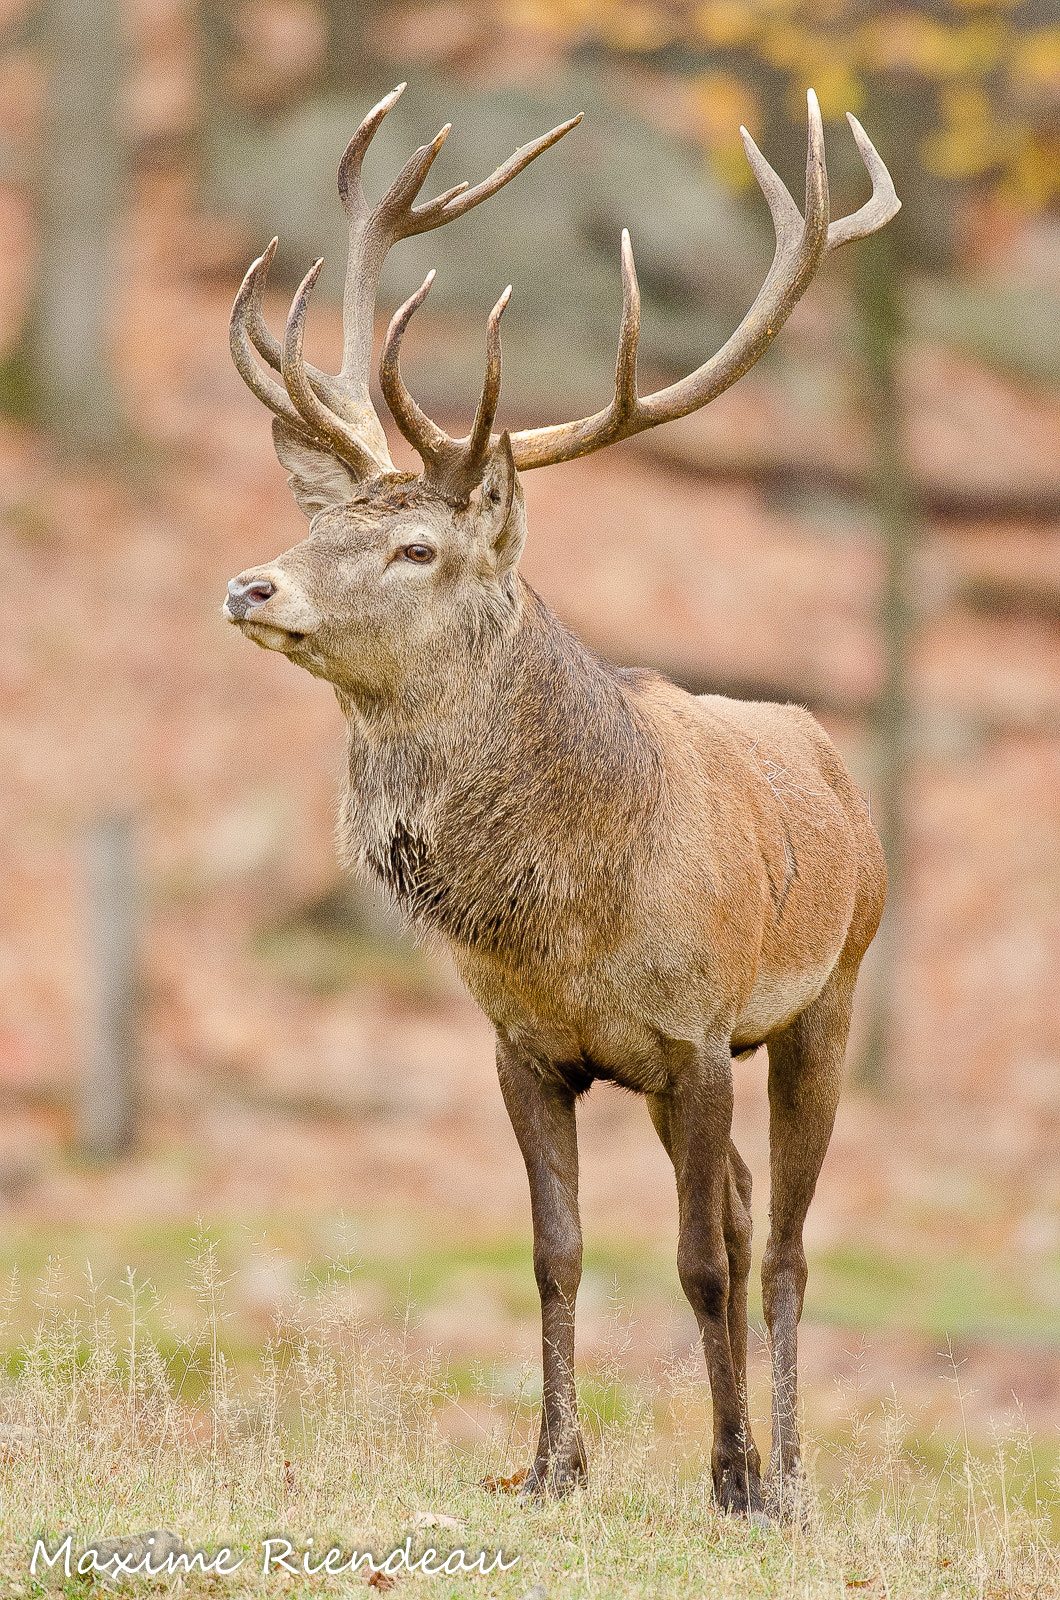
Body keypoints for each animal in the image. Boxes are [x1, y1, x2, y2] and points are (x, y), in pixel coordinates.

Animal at [223, 83, 897, 1521]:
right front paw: (549, 1468)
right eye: (320, 524)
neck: (571, 913)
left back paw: (793, 1478)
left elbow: (700, 1261)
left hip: (829, 992)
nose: (252, 583)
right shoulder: (529, 1043)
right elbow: (558, 1250)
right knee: (746, 1208)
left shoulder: (695, 1029)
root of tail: (833, 765)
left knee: (784, 1243)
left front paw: (732, 1481)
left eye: (415, 546)